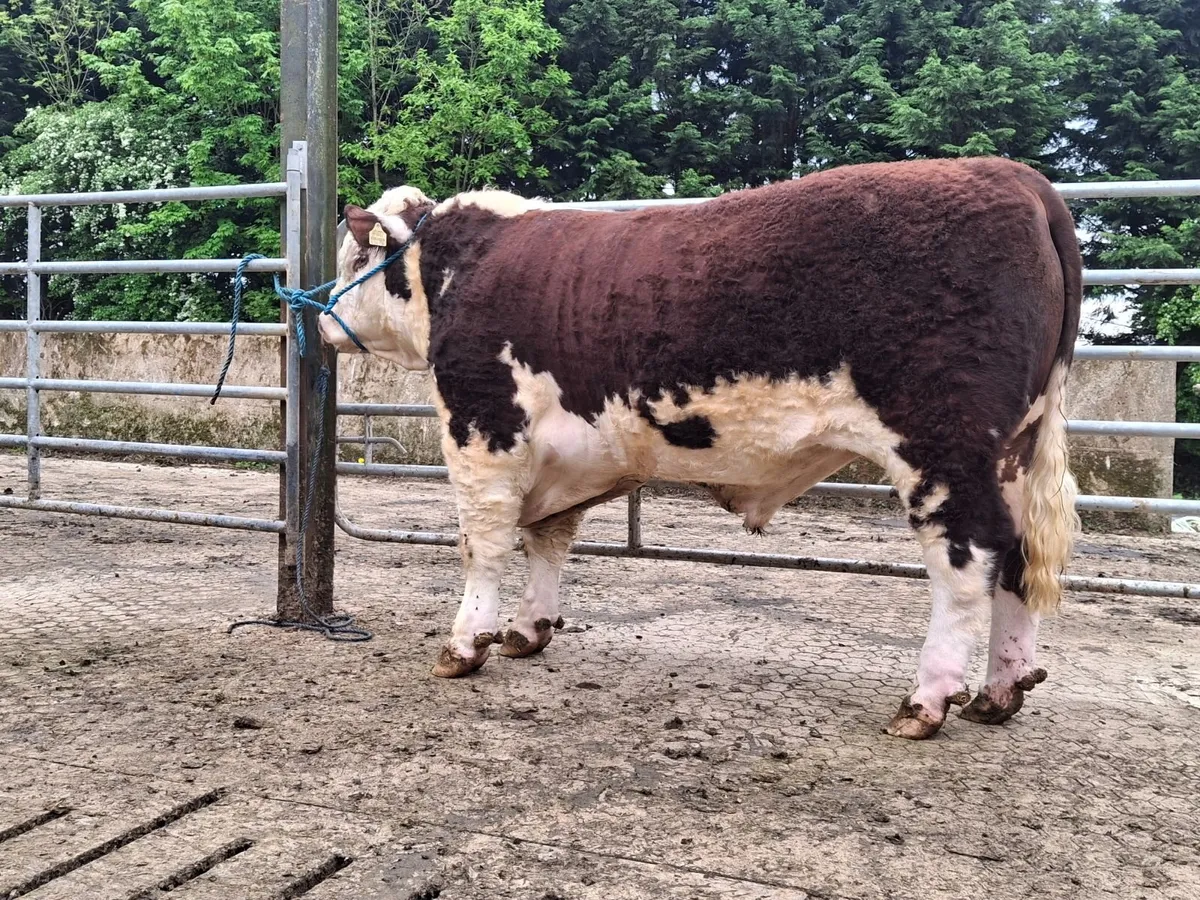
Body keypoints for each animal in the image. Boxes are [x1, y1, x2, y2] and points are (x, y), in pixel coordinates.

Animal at [319, 157, 1082, 740]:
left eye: (355, 254)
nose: (320, 315)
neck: (455, 272)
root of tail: (1016, 178)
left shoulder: (483, 426)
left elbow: (482, 542)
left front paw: (463, 644)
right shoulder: (567, 457)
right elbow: (549, 539)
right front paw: (528, 631)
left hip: (945, 448)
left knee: (967, 562)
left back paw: (925, 703)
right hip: (1012, 451)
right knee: (1017, 559)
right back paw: (1000, 692)